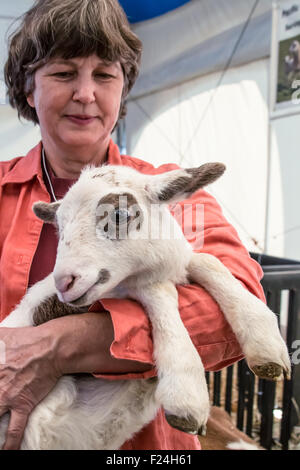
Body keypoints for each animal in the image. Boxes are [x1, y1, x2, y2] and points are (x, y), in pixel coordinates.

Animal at [0, 163, 290, 450]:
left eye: (119, 215)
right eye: (59, 227)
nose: (63, 282)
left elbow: (207, 260)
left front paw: (266, 346)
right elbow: (159, 290)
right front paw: (186, 392)